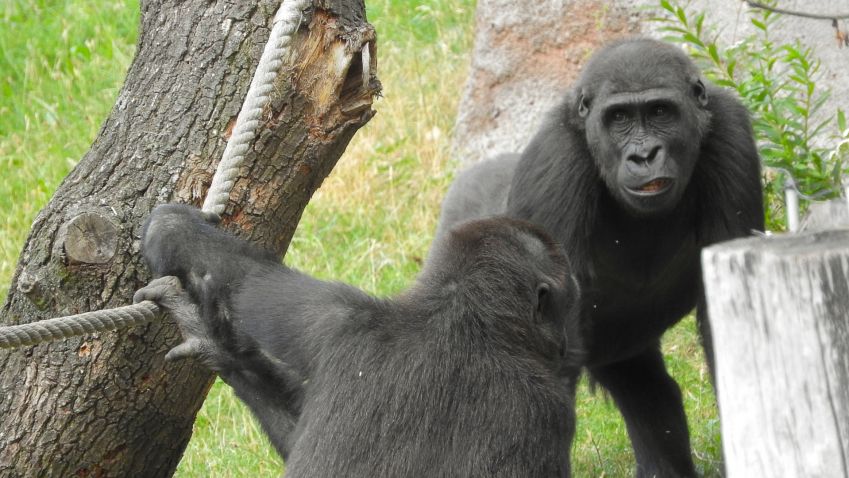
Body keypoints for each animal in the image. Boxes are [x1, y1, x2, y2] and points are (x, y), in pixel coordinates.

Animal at [134, 204, 584, 476]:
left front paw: (172, 229)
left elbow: (247, 279)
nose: (564, 341)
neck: (462, 312)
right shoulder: (545, 408)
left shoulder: (338, 315)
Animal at [434, 38, 764, 478]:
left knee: (646, 390)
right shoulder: (555, 159)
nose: (644, 155)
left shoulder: (731, 134)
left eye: (661, 112)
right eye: (619, 118)